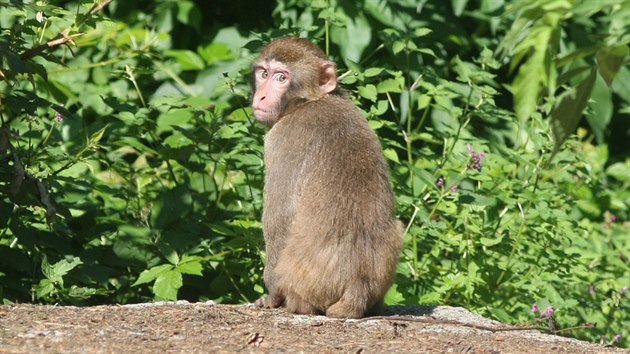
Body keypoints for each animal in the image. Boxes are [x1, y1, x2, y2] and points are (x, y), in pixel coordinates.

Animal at [252, 37, 404, 320]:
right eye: (263, 74)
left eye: (281, 77)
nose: (262, 95)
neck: (310, 101)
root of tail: (358, 287)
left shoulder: (282, 139)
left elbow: (280, 219)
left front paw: (271, 296)